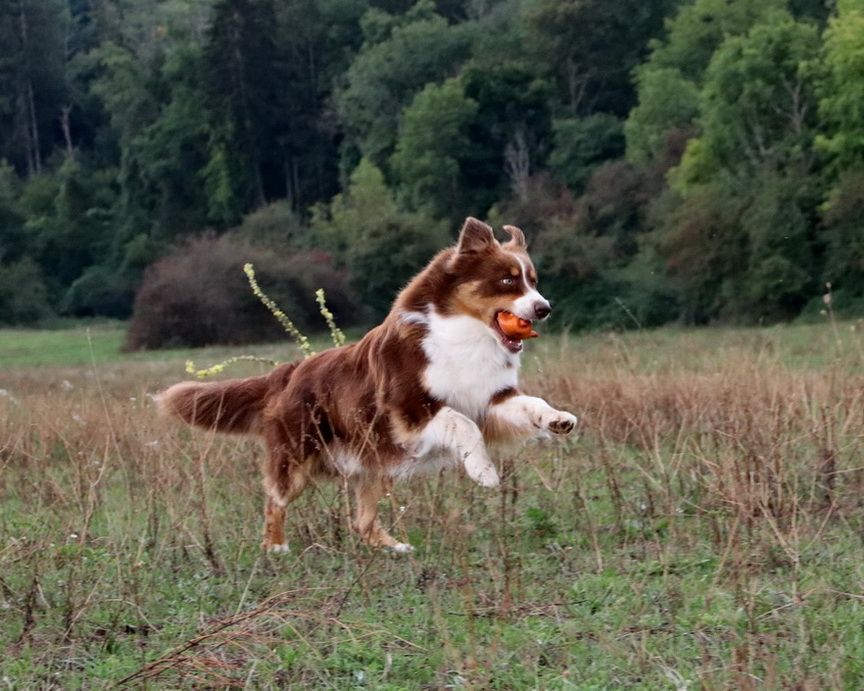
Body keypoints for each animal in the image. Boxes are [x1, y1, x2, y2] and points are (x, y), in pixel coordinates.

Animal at [159, 219, 576, 556]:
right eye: (507, 279)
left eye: (533, 281)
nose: (545, 308)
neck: (465, 334)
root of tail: (289, 373)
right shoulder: (410, 410)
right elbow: (462, 423)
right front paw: (484, 472)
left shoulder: (490, 399)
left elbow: (529, 403)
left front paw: (558, 420)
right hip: (298, 456)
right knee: (275, 498)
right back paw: (276, 547)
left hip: (372, 463)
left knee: (361, 520)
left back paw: (395, 548)